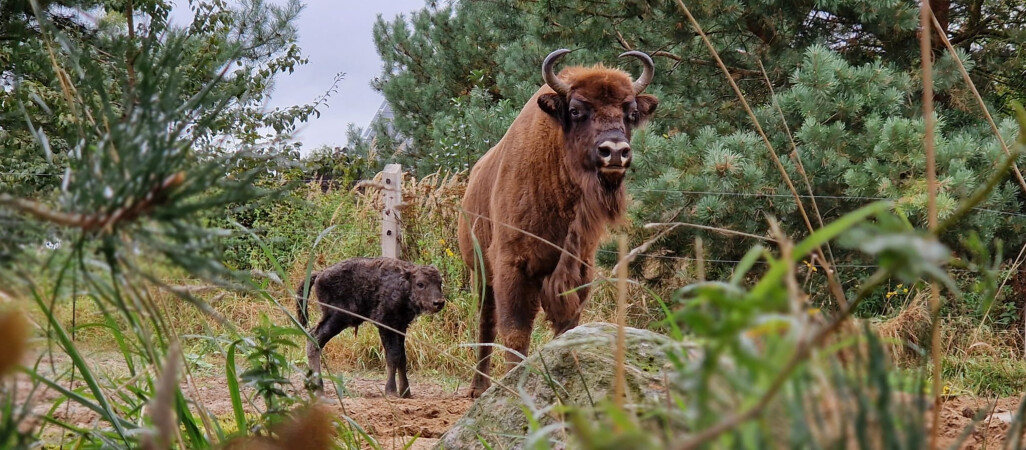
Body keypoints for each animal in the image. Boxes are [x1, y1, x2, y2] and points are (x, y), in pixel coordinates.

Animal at [295, 257, 443, 397]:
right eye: (420, 284)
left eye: (440, 282)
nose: (439, 302)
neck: (404, 284)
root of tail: (320, 274)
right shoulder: (386, 325)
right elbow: (393, 356)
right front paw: (391, 392)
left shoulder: (401, 326)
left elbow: (402, 357)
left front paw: (406, 393)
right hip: (337, 318)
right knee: (315, 339)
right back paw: (320, 390)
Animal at [457, 47, 656, 395]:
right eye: (576, 110)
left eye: (631, 113)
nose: (615, 152)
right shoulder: (512, 267)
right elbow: (515, 332)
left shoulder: (577, 270)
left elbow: (566, 330)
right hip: (480, 273)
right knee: (486, 323)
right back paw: (478, 388)